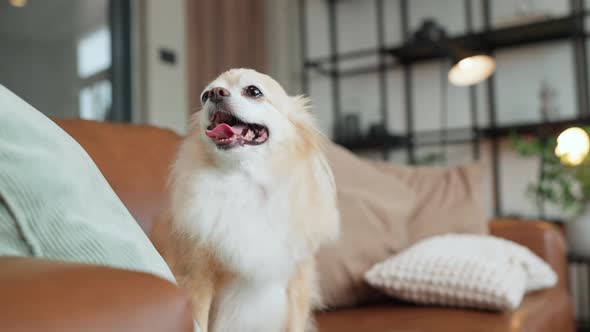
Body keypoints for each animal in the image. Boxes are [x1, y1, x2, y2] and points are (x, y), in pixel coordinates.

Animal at [150, 68, 340, 332]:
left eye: (253, 91)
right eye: (204, 96)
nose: (215, 93)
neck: (246, 182)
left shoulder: (298, 282)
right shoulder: (196, 278)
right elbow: (199, 322)